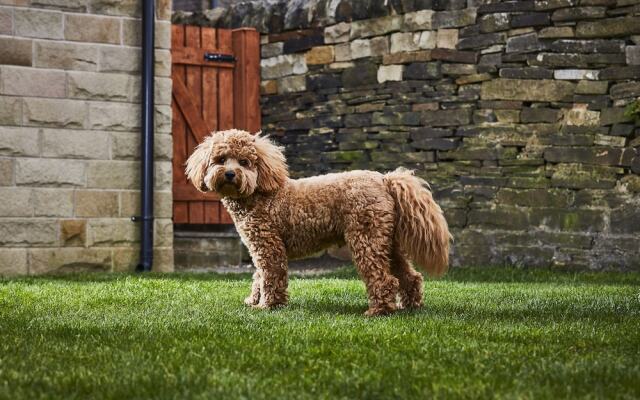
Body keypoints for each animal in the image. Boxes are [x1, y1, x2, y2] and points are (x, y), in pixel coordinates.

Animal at [188, 129, 452, 316]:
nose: (230, 174)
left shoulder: (268, 246)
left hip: (365, 238)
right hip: (387, 241)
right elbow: (258, 276)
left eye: (244, 162)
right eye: (221, 159)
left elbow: (270, 276)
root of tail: (385, 179)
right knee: (410, 276)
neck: (259, 193)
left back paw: (379, 310)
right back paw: (411, 305)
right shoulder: (259, 247)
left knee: (384, 278)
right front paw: (254, 300)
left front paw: (267, 305)